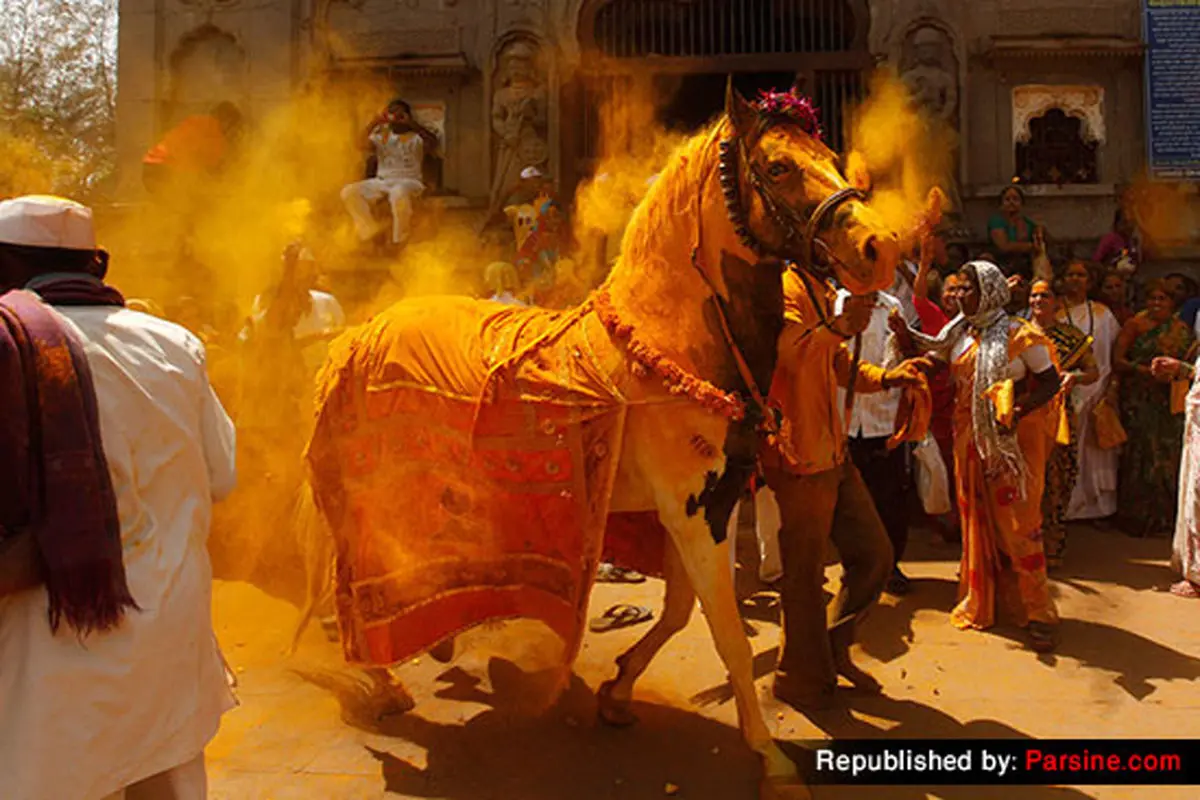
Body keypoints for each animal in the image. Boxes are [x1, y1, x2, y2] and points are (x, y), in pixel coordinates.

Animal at [295, 82, 902, 800]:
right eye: (778, 167)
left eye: (830, 157)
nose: (881, 247)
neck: (670, 346)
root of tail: (360, 331)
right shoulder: (690, 510)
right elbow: (724, 629)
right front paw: (772, 761)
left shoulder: (707, 504)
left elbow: (680, 610)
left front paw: (617, 692)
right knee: (351, 583)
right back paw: (378, 677)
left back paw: (441, 647)